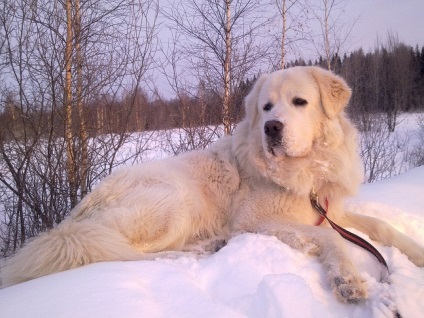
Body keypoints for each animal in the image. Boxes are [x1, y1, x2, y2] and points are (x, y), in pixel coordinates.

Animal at [1, 66, 422, 302]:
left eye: (300, 102)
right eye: (266, 108)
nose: (272, 127)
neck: (302, 172)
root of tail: (74, 217)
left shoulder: (330, 210)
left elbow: (381, 226)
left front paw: (414, 253)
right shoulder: (255, 221)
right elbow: (330, 237)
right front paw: (347, 278)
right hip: (173, 200)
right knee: (121, 253)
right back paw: (203, 249)